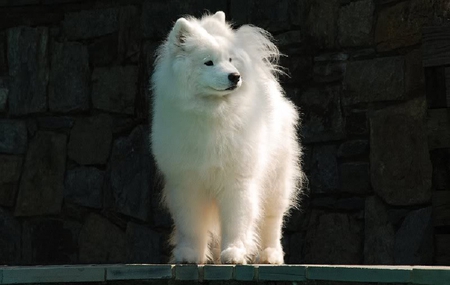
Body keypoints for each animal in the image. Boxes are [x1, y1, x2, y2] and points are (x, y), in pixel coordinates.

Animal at [150, 11, 302, 264]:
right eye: (208, 62)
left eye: (230, 60)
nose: (235, 76)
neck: (212, 112)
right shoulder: (186, 183)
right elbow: (190, 224)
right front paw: (189, 254)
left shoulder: (237, 180)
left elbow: (236, 221)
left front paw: (234, 252)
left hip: (276, 181)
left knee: (272, 221)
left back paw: (270, 254)